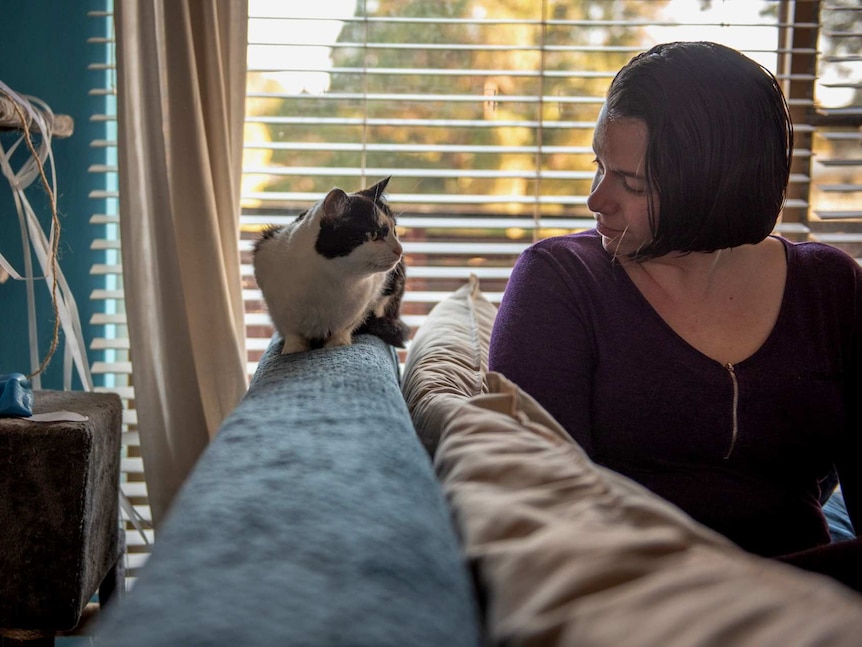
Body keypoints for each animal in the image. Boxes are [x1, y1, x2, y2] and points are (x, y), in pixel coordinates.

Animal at [251, 177, 410, 356]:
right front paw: (292, 350)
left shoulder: (370, 294)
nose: (400, 250)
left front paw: (338, 344)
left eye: (394, 231)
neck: (334, 278)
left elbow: (345, 327)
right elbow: (291, 331)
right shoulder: (267, 270)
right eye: (374, 234)